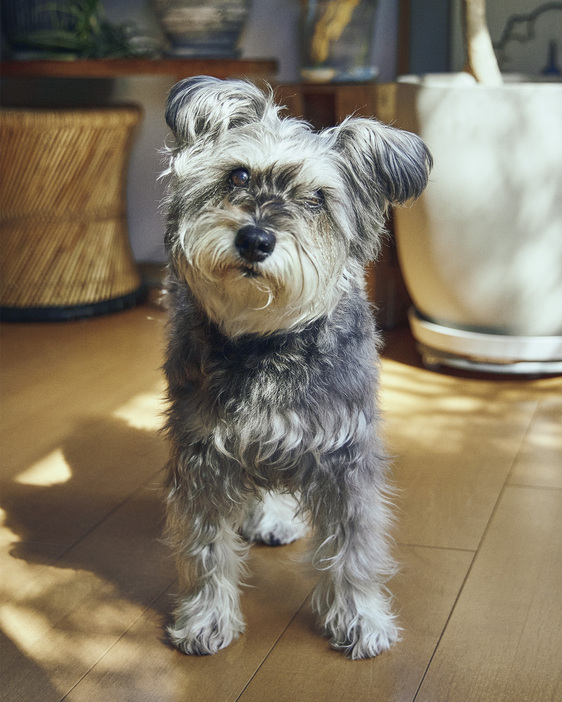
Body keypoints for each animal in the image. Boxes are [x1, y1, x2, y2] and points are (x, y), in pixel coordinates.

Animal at [160, 77, 430, 660]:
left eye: (317, 199)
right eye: (238, 175)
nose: (255, 239)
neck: (266, 341)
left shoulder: (345, 457)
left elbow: (354, 549)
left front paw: (360, 619)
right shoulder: (202, 455)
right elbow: (204, 547)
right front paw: (206, 619)